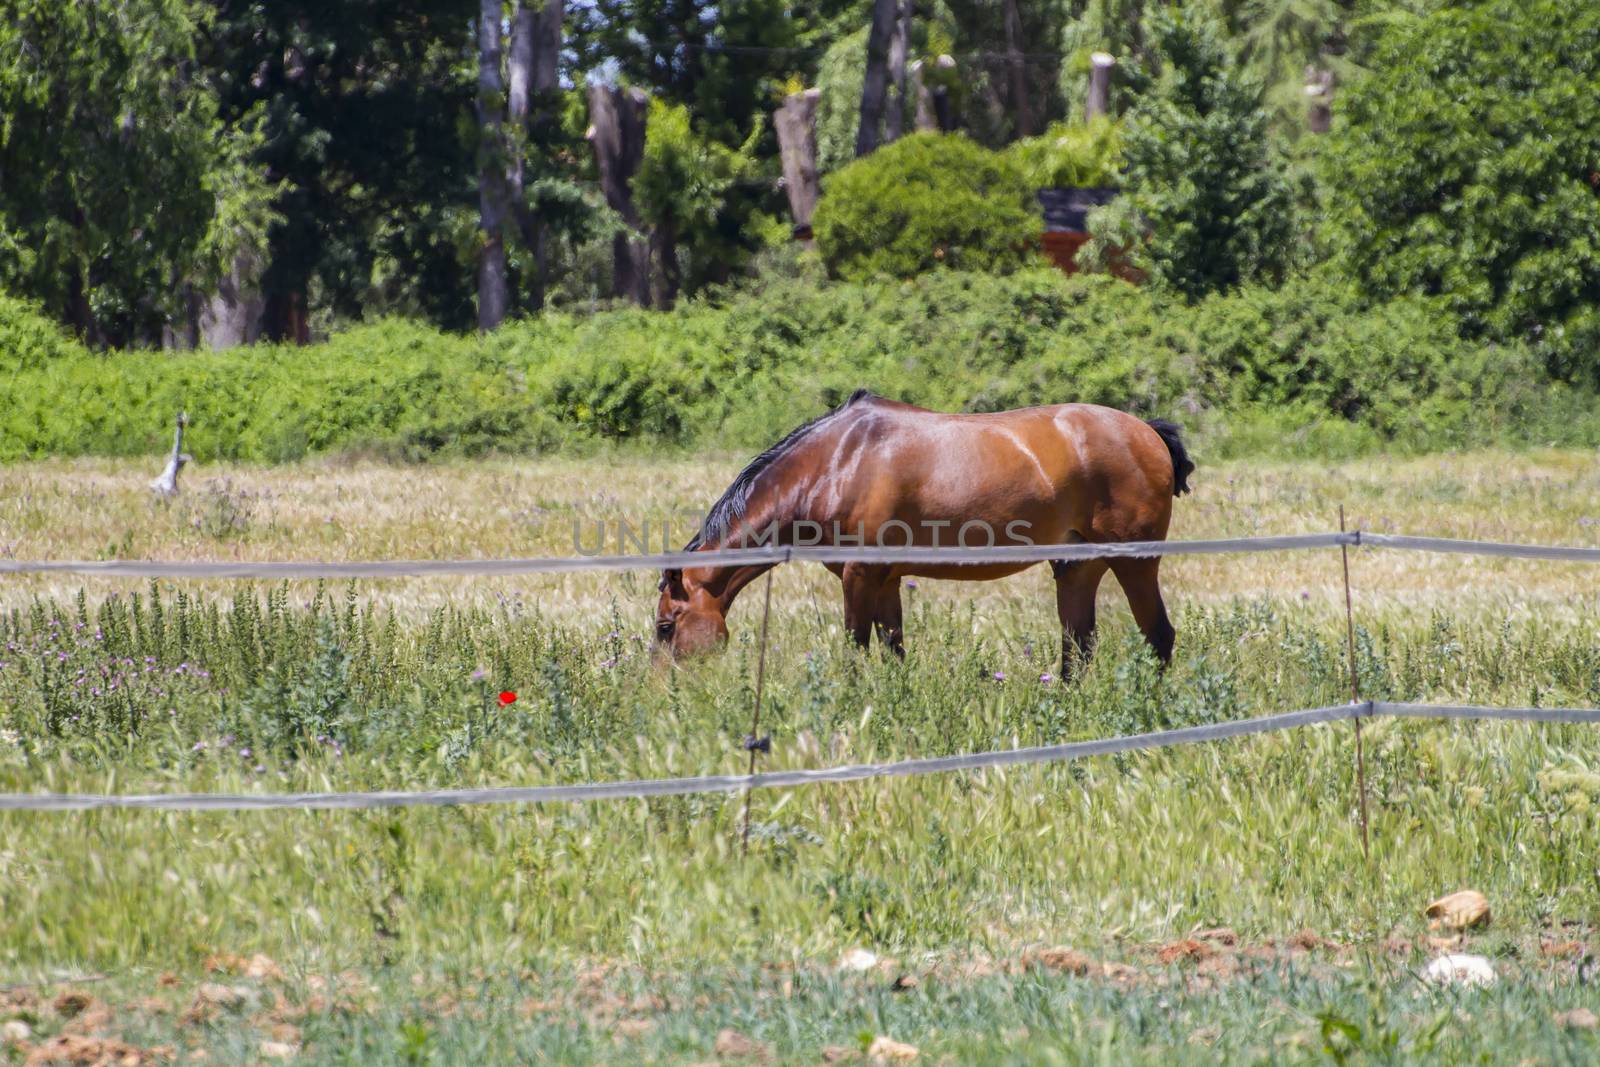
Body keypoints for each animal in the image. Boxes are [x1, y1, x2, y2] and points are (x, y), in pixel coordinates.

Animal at [649, 390, 1190, 675]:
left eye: (666, 627)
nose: (663, 692)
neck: (835, 462)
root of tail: (1146, 430)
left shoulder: (859, 577)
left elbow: (855, 650)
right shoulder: (886, 580)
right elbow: (894, 652)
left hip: (1135, 563)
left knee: (1159, 636)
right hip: (1077, 569)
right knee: (1077, 647)